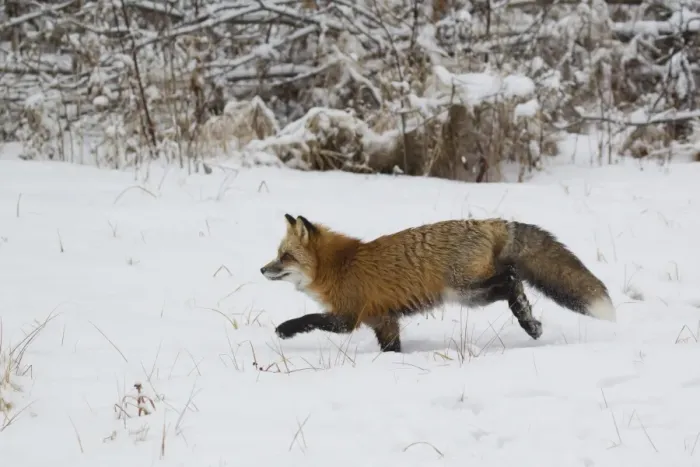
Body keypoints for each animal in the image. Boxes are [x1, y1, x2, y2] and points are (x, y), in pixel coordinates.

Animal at [260, 214, 616, 353]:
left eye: (285, 256)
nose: (262, 270)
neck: (339, 265)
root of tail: (487, 222)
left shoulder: (348, 317)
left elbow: (308, 319)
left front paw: (284, 329)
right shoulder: (384, 320)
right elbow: (392, 349)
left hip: (464, 290)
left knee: (512, 278)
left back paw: (527, 321)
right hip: (471, 294)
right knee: (512, 281)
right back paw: (531, 322)